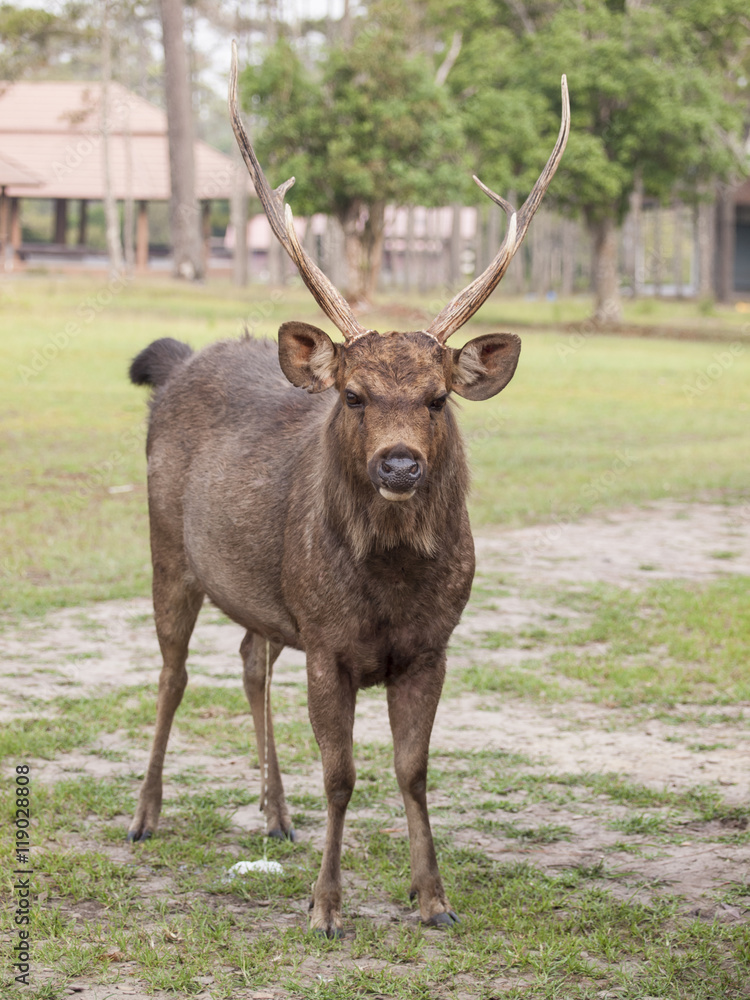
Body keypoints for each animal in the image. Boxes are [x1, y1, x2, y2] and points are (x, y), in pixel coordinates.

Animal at [126, 43, 569, 938]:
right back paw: (146, 814)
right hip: (166, 550)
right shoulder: (328, 643)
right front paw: (326, 907)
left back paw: (274, 815)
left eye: (436, 397)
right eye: (356, 395)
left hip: (264, 590)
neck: (388, 589)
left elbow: (412, 771)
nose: (399, 465)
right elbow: (342, 776)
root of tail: (178, 360)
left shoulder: (431, 646)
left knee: (250, 656)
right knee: (173, 672)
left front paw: (433, 898)